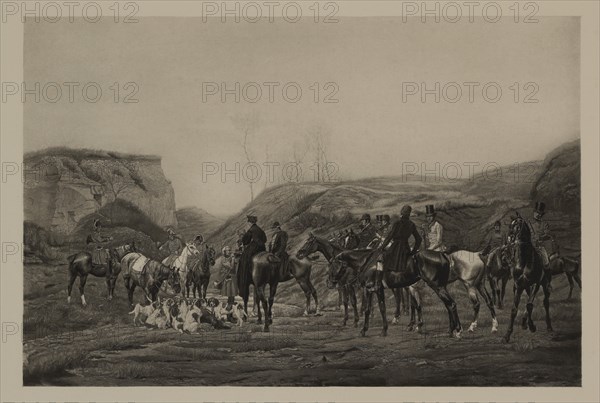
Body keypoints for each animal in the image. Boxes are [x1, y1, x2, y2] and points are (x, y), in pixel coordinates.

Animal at [328, 248, 464, 340]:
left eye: (333, 265)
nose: (330, 282)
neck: (367, 262)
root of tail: (442, 254)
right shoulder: (379, 290)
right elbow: (382, 308)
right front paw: (384, 330)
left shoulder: (369, 289)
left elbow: (367, 309)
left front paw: (364, 330)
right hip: (440, 286)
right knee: (447, 305)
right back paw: (450, 331)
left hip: (437, 286)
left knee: (451, 304)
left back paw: (457, 331)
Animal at [502, 211, 552, 344]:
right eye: (510, 225)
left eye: (517, 225)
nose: (509, 240)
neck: (525, 260)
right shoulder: (519, 285)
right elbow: (514, 309)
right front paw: (507, 335)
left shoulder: (535, 284)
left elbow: (529, 305)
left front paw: (532, 326)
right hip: (524, 286)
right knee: (529, 300)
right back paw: (525, 322)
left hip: (544, 284)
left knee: (545, 303)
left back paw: (549, 326)